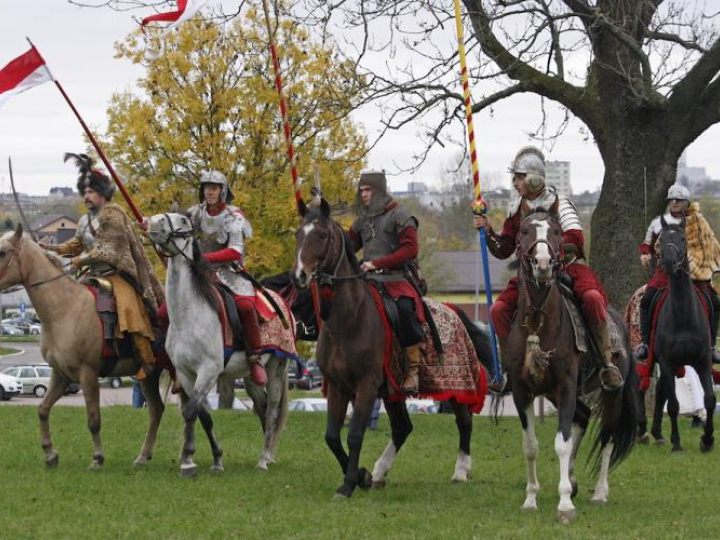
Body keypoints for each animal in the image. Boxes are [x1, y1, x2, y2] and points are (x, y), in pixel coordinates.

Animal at [0, 225, 167, 469]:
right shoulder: (60, 374)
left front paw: (97, 458)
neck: (65, 310)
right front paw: (50, 454)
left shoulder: (87, 374)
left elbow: (93, 419)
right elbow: (43, 409)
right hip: (149, 373)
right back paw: (142, 457)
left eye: (3, 252)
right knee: (157, 409)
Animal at [146, 213, 292, 476]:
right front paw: (215, 459)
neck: (189, 315)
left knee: (273, 409)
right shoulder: (186, 374)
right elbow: (203, 415)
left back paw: (264, 460)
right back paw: (266, 455)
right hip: (249, 375)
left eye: (183, 220)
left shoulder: (209, 370)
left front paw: (188, 463)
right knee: (262, 406)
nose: (153, 221)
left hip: (277, 366)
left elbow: (191, 411)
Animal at [291, 199, 493, 499]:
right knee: (402, 428)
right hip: (393, 392)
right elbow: (332, 436)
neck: (348, 320)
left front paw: (349, 483)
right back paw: (378, 472)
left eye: (323, 235)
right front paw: (360, 476)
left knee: (464, 421)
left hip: (457, 385)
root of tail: (452, 309)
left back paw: (460, 471)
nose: (299, 276)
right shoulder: (338, 386)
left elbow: (354, 434)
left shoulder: (366, 385)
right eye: (298, 234)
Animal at [505, 210, 636, 524]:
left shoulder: (565, 388)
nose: (542, 264)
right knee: (585, 416)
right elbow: (530, 446)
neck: (539, 321)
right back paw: (574, 480)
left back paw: (599, 492)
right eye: (525, 231)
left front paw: (564, 505)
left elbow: (561, 443)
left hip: (612, 393)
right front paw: (531, 499)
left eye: (556, 232)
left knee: (607, 436)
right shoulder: (522, 392)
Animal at [646, 217, 715, 452]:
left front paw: (707, 439)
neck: (683, 317)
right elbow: (674, 405)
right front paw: (676, 442)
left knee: (660, 391)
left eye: (683, 239)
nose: (668, 262)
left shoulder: (703, 362)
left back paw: (657, 434)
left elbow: (710, 398)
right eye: (661, 239)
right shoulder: (667, 362)